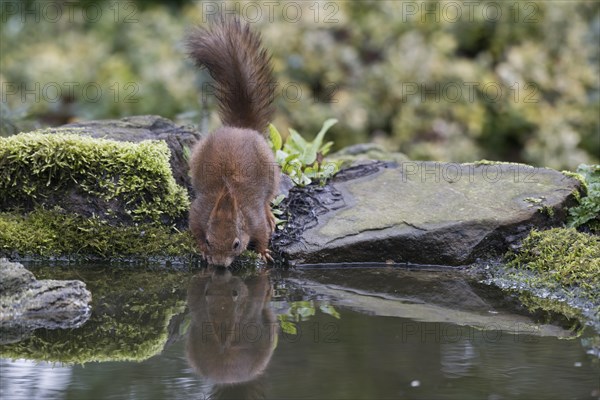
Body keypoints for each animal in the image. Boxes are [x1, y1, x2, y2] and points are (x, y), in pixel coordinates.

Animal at [185, 19, 278, 268]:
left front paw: (263, 252)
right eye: (210, 240)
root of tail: (240, 128)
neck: (228, 195)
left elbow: (262, 234)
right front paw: (201, 248)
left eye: (236, 244)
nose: (219, 264)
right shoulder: (200, 212)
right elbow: (194, 226)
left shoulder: (254, 219)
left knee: (268, 197)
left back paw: (270, 213)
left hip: (272, 172)